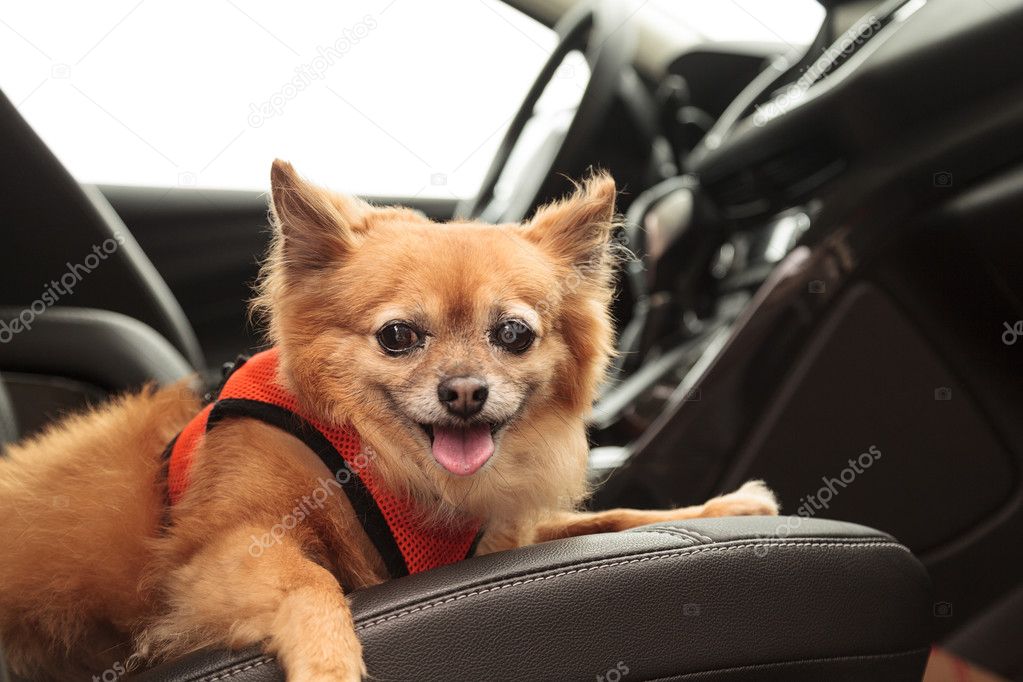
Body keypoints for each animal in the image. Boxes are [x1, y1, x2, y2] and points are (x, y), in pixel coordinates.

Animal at [0, 161, 773, 682]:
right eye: (398, 337)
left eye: (514, 335)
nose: (465, 391)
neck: (393, 464)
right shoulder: (218, 555)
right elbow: (311, 584)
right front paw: (332, 666)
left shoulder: (498, 542)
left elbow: (611, 518)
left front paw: (723, 506)